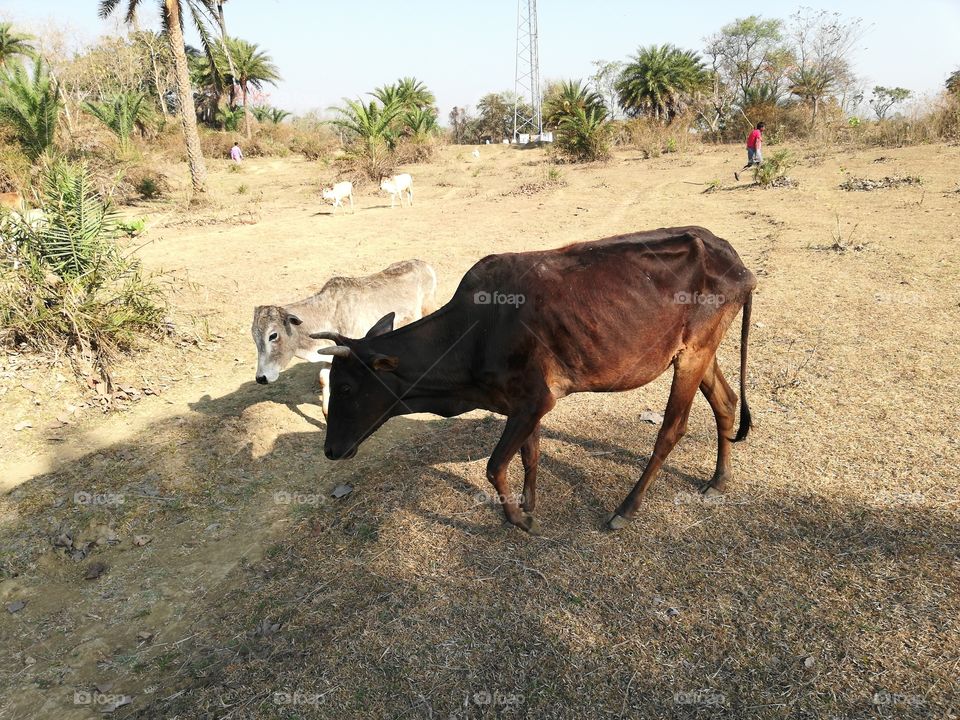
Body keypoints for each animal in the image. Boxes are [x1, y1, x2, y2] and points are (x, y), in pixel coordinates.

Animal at [310, 227, 757, 532]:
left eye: (347, 387)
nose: (330, 451)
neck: (473, 332)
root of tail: (733, 258)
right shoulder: (521, 405)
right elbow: (530, 456)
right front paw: (528, 506)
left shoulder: (536, 400)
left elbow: (494, 466)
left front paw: (517, 520)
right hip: (698, 353)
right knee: (726, 402)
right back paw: (719, 480)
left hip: (693, 355)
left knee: (672, 429)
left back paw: (625, 510)